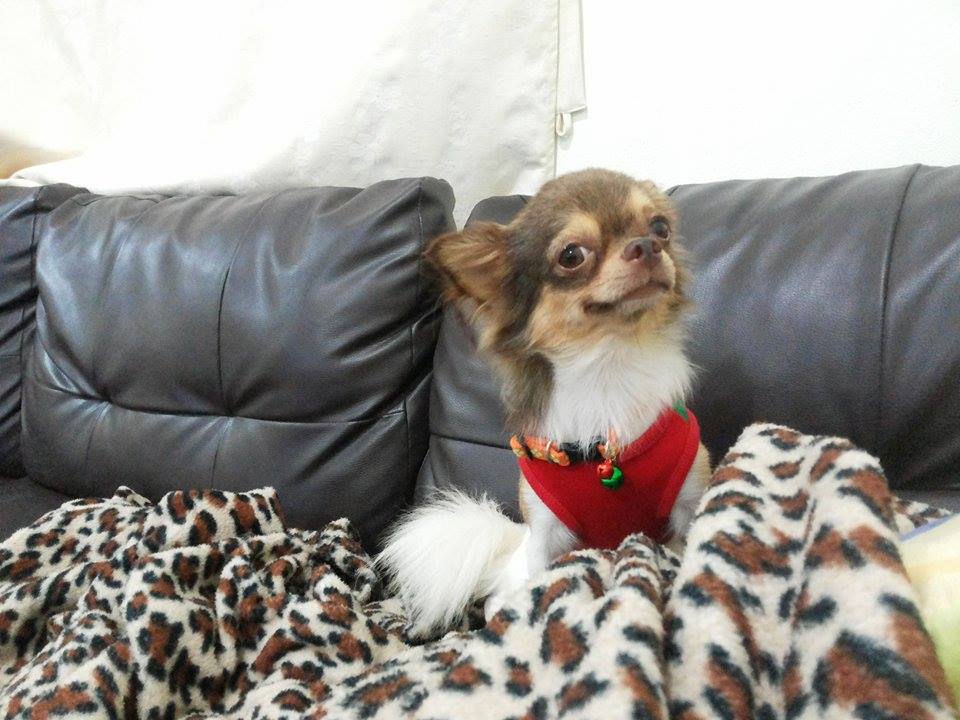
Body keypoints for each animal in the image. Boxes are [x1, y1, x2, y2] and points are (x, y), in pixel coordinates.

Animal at [378, 169, 712, 638]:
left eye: (661, 227)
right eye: (571, 255)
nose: (648, 246)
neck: (607, 367)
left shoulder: (688, 505)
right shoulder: (546, 533)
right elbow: (542, 585)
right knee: (502, 597)